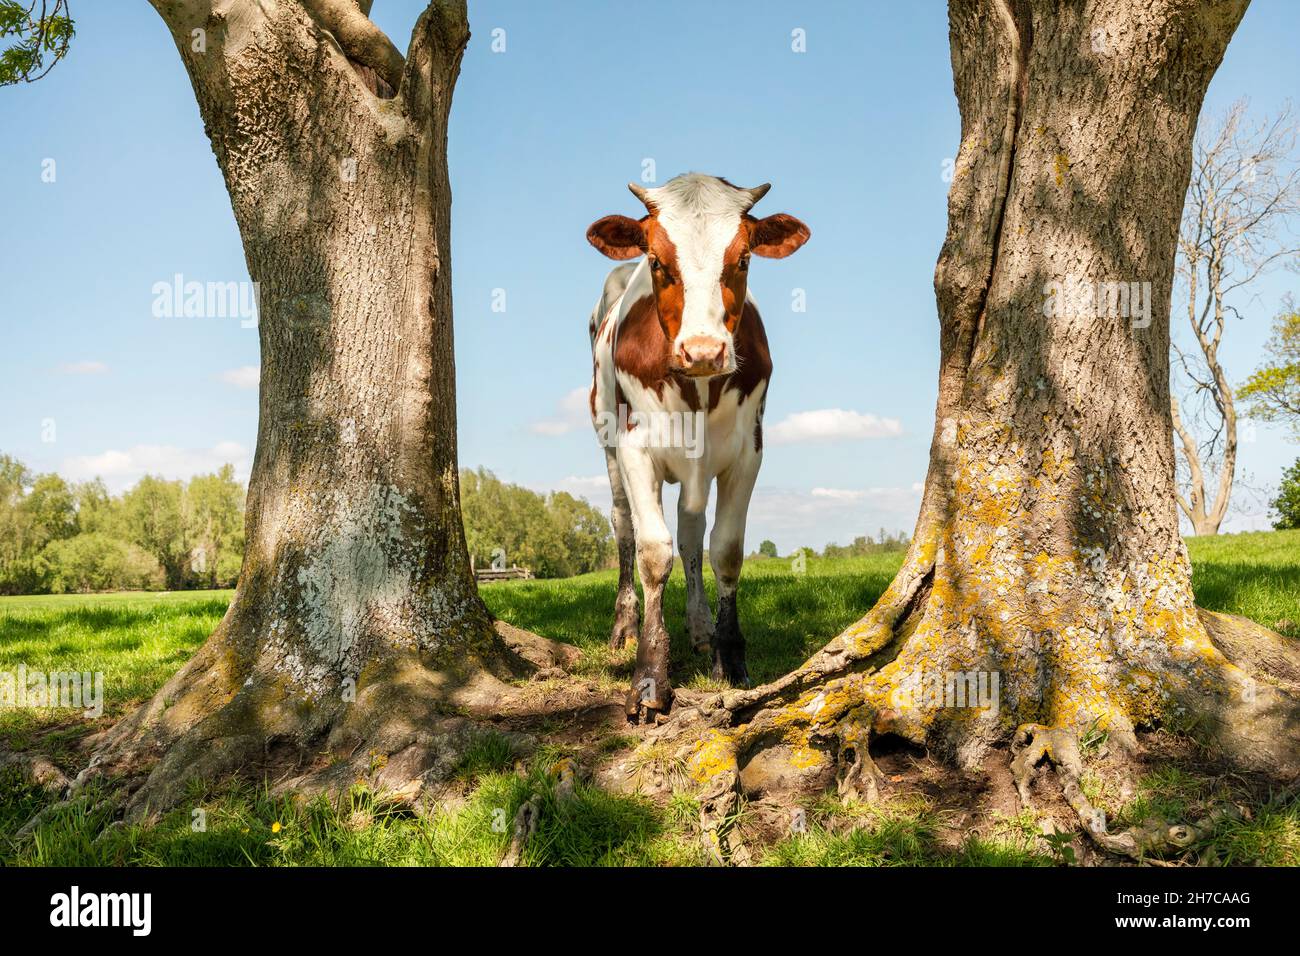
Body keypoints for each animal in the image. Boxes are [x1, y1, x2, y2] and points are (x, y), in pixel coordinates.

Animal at [585, 175, 806, 723]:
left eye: (744, 258)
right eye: (658, 261)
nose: (703, 351)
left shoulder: (748, 451)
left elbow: (723, 550)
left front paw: (730, 656)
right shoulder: (635, 448)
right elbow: (652, 553)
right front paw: (649, 677)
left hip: (696, 469)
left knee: (690, 534)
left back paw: (701, 627)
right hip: (608, 444)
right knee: (624, 525)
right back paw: (624, 628)